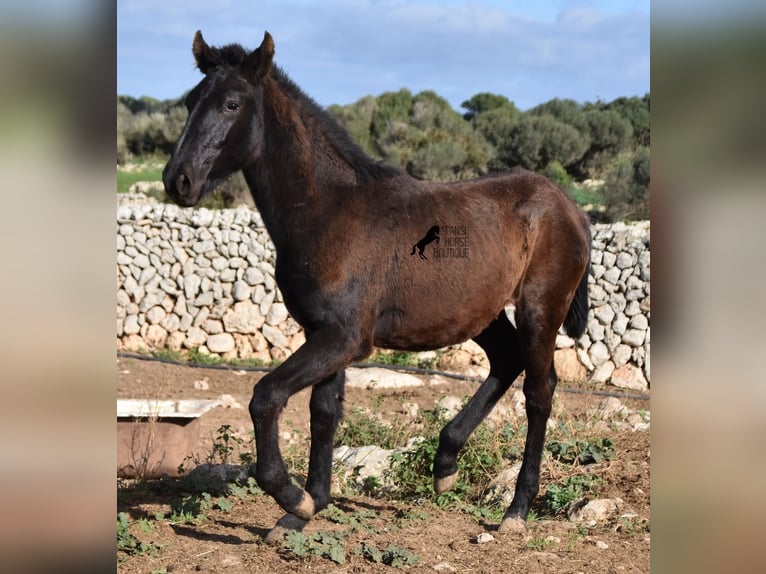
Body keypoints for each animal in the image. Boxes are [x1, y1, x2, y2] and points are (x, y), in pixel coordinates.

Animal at [164, 30, 592, 544]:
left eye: (231, 103)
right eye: (190, 102)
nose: (178, 180)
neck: (330, 210)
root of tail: (570, 207)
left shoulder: (347, 337)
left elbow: (266, 396)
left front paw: (292, 498)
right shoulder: (323, 333)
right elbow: (324, 413)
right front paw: (305, 509)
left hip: (539, 310)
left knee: (539, 392)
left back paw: (516, 509)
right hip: (480, 313)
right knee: (506, 362)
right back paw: (445, 464)